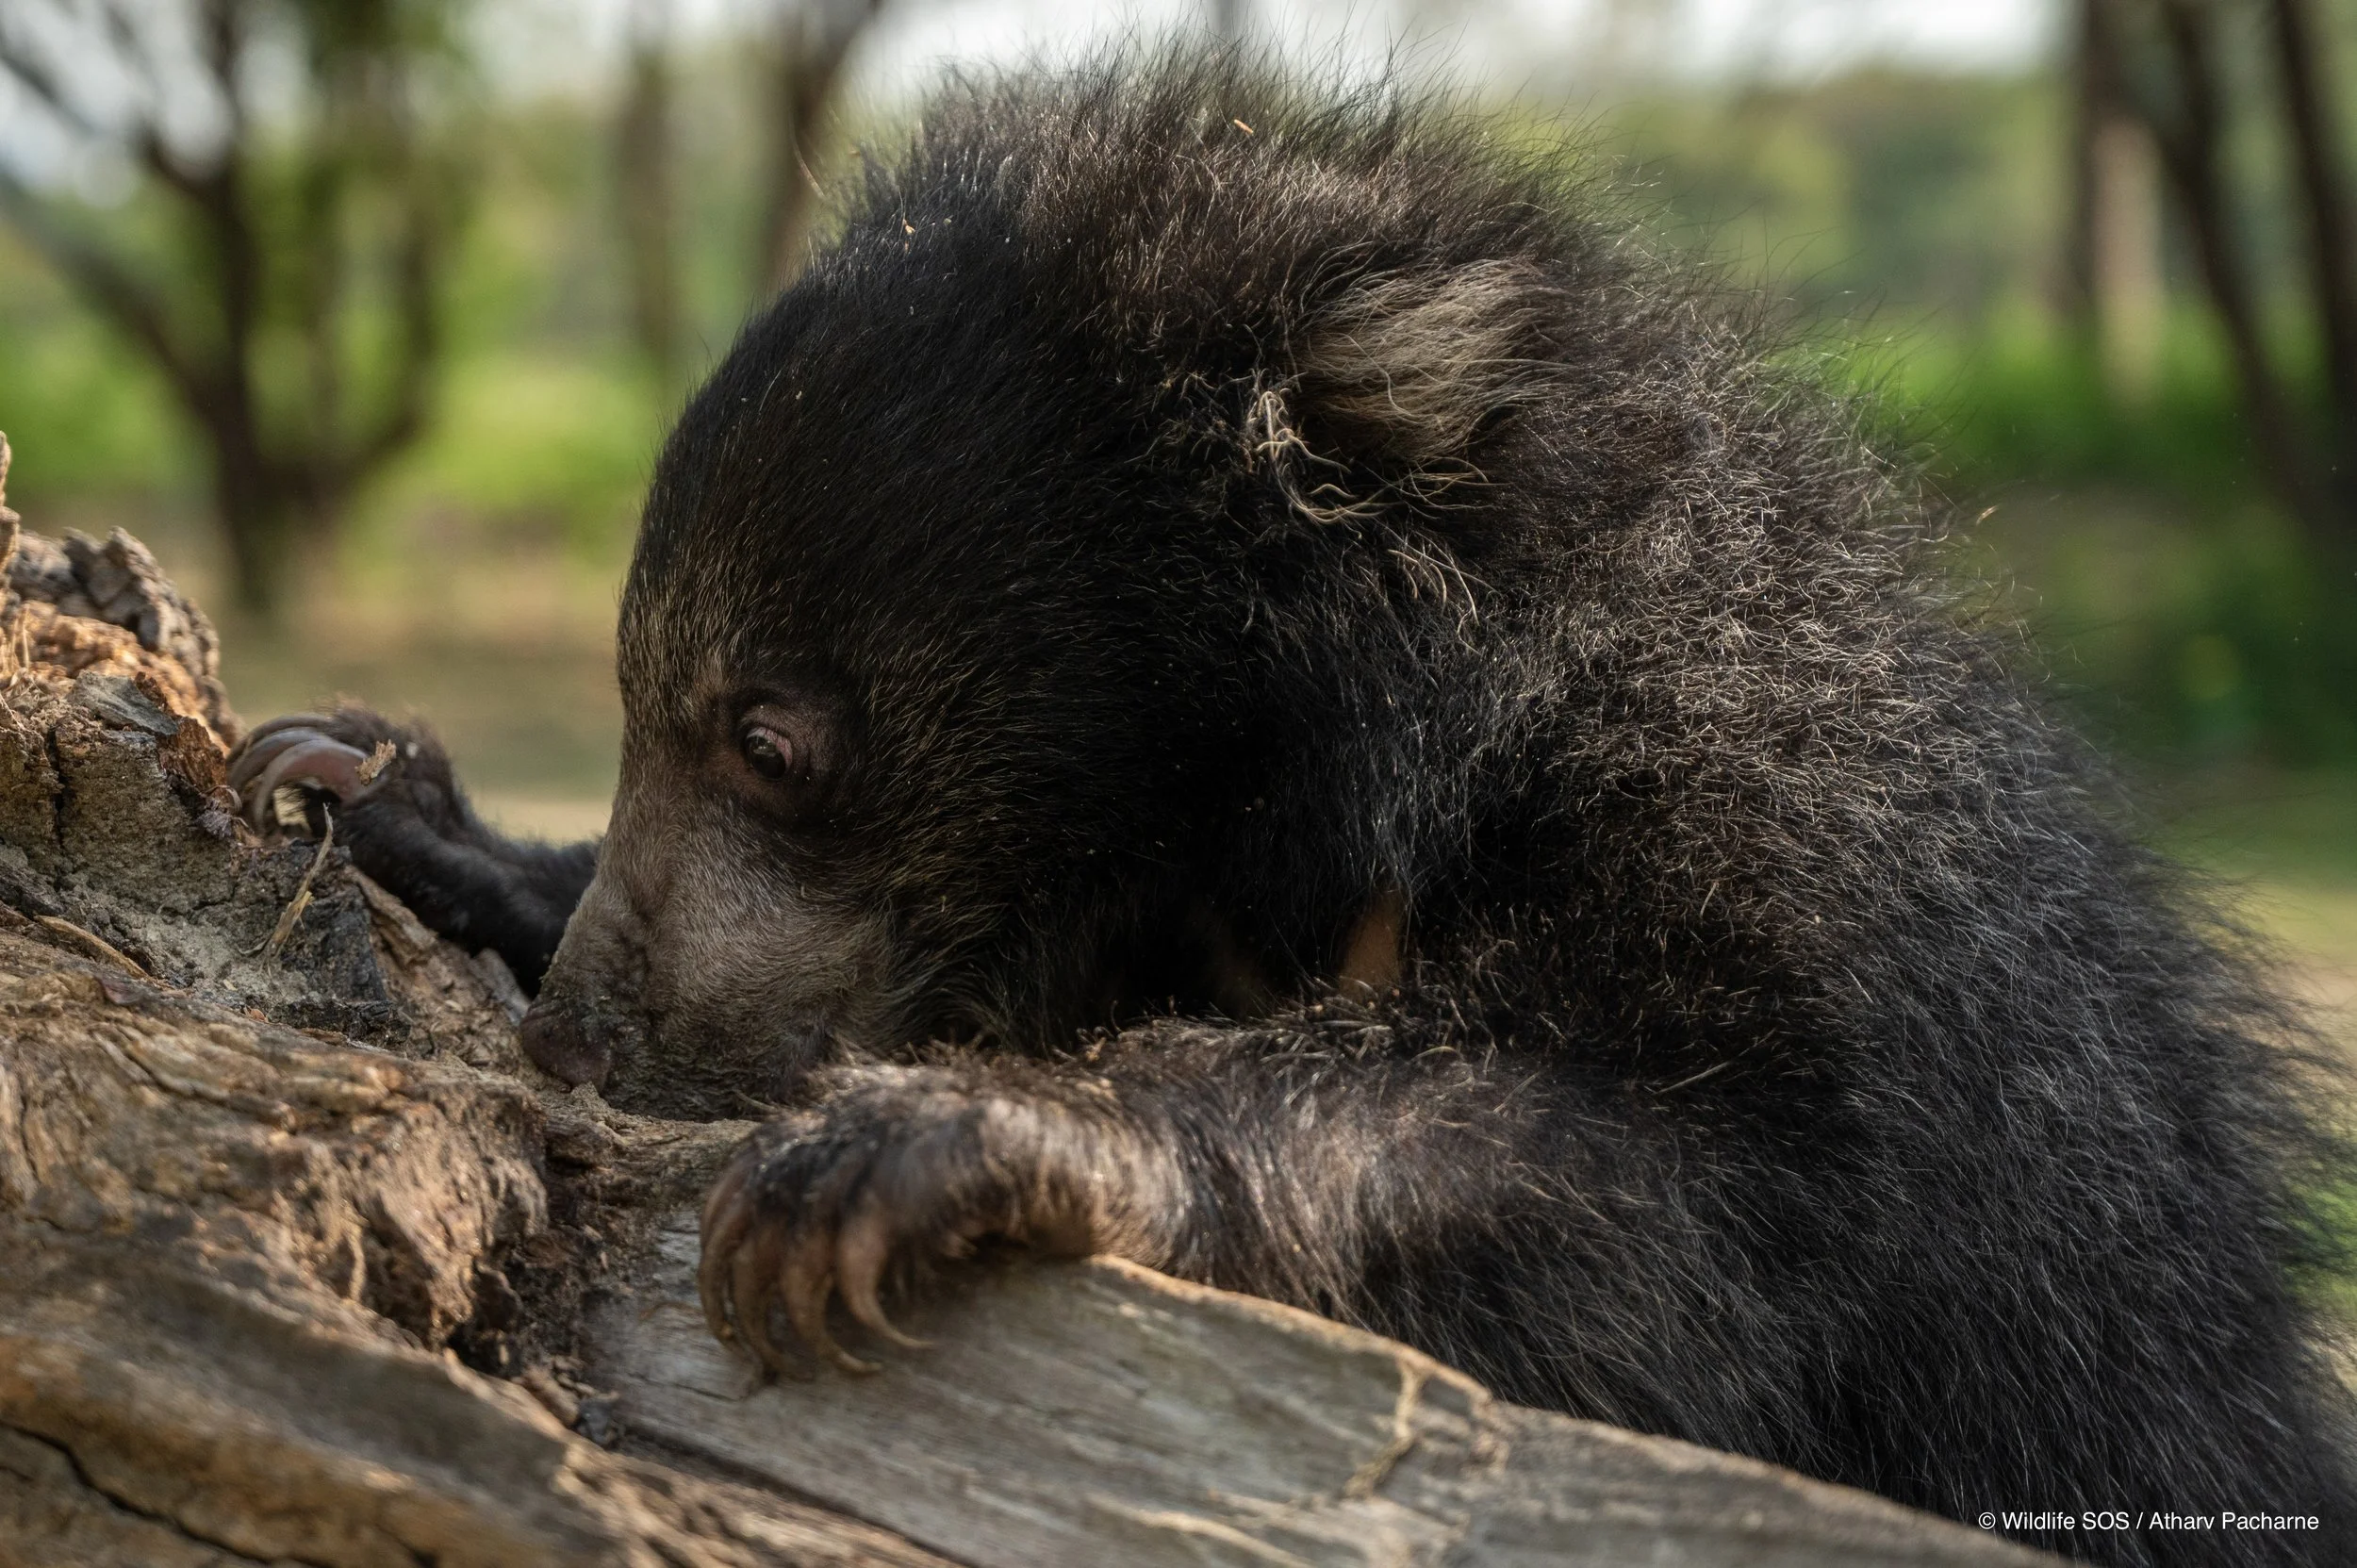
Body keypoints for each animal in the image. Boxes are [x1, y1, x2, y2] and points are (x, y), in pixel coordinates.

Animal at [229, 53, 2355, 1565]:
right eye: (630, 712)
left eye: (765, 738)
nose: (587, 1040)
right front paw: (365, 790)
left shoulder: (1838, 943)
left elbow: (1701, 1218)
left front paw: (914, 1150)